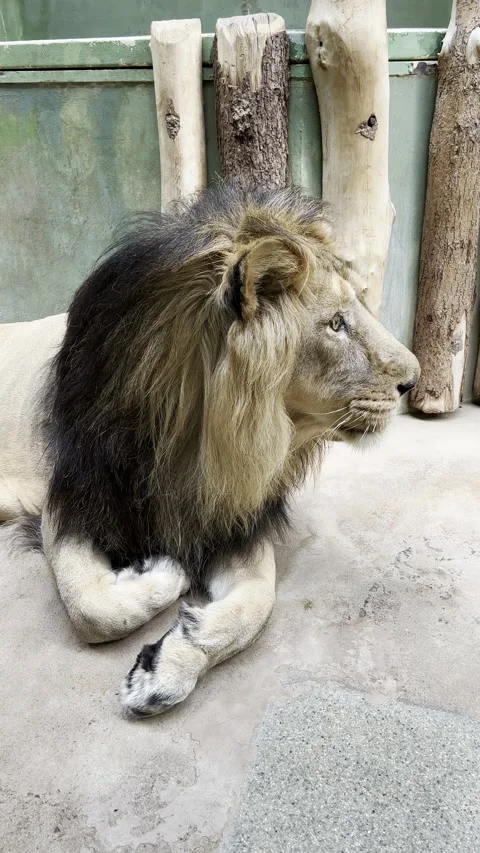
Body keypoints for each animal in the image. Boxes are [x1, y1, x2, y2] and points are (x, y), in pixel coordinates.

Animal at [0, 184, 419, 717]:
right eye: (336, 324)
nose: (415, 379)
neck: (195, 446)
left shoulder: (234, 520)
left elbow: (259, 602)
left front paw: (168, 667)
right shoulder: (72, 502)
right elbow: (94, 608)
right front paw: (164, 571)